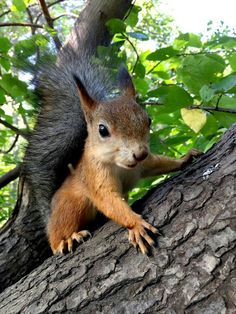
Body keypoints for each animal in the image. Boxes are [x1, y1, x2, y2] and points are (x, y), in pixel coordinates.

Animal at [46, 67, 199, 255]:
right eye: (102, 130)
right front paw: (136, 224)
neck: (120, 164)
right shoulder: (95, 175)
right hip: (70, 205)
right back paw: (66, 240)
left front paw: (185, 159)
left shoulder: (144, 164)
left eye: (148, 120)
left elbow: (158, 163)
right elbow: (108, 199)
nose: (140, 153)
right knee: (58, 234)